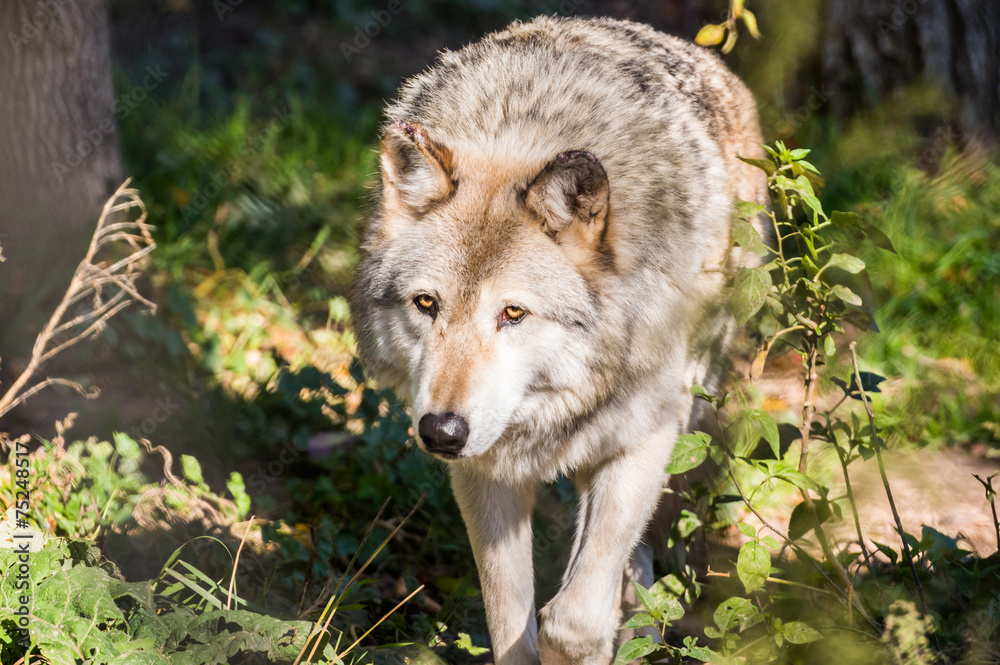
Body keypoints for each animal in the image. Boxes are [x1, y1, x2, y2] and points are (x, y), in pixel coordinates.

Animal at [349, 15, 767, 665]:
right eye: (426, 304)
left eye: (513, 313)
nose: (441, 432)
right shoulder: (484, 471)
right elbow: (509, 622)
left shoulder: (644, 438)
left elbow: (573, 622)